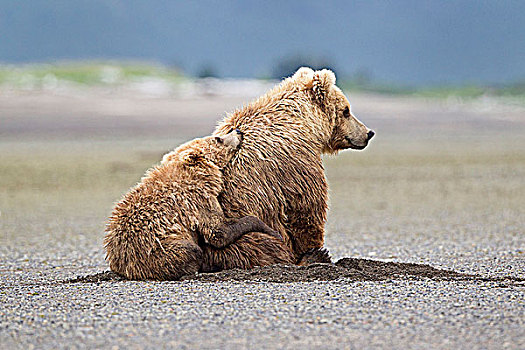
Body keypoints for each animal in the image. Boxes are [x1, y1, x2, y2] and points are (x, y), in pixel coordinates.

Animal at [102, 130, 290, 280]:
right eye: (217, 138)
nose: (238, 131)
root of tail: (117, 261)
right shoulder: (197, 199)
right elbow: (218, 232)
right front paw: (272, 231)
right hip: (154, 250)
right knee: (190, 251)